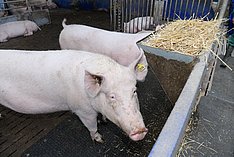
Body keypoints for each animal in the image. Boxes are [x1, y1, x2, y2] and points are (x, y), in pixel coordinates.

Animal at [0, 49, 147, 142]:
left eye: (134, 91)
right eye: (112, 96)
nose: (140, 130)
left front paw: (104, 120)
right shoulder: (82, 110)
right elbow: (92, 126)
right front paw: (100, 139)